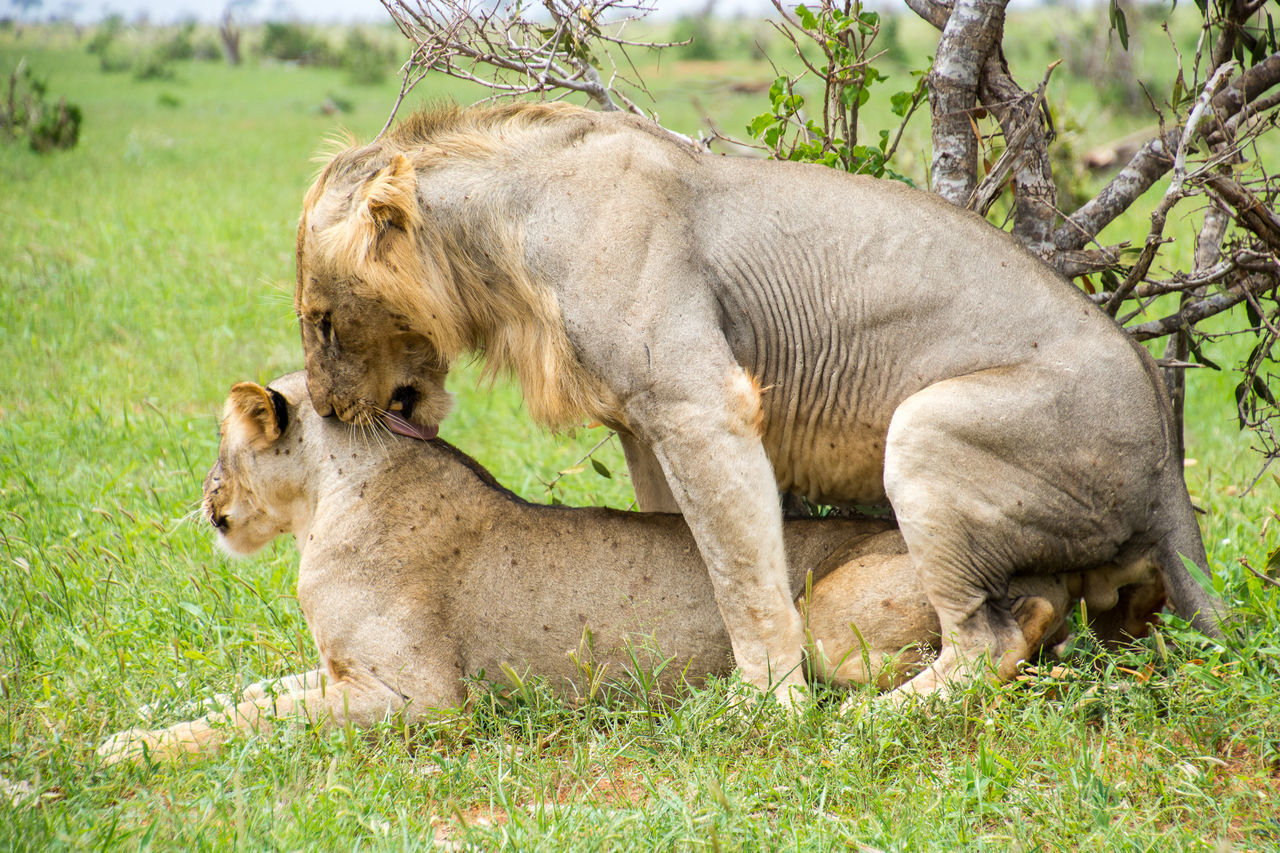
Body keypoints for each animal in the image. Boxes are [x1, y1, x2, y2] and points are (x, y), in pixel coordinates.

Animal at [99, 371, 1162, 763]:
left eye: (222, 448)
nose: (206, 499)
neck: (332, 497)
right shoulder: (343, 673)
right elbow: (251, 691)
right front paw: (138, 722)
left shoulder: (420, 700)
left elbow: (254, 718)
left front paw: (123, 748)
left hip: (831, 624)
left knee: (997, 634)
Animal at [293, 103, 1218, 701]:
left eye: (322, 321)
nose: (330, 410)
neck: (501, 244)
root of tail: (1166, 449)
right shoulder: (644, 422)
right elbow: (691, 546)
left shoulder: (701, 402)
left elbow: (742, 571)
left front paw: (767, 703)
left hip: (927, 428)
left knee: (985, 642)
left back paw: (871, 717)